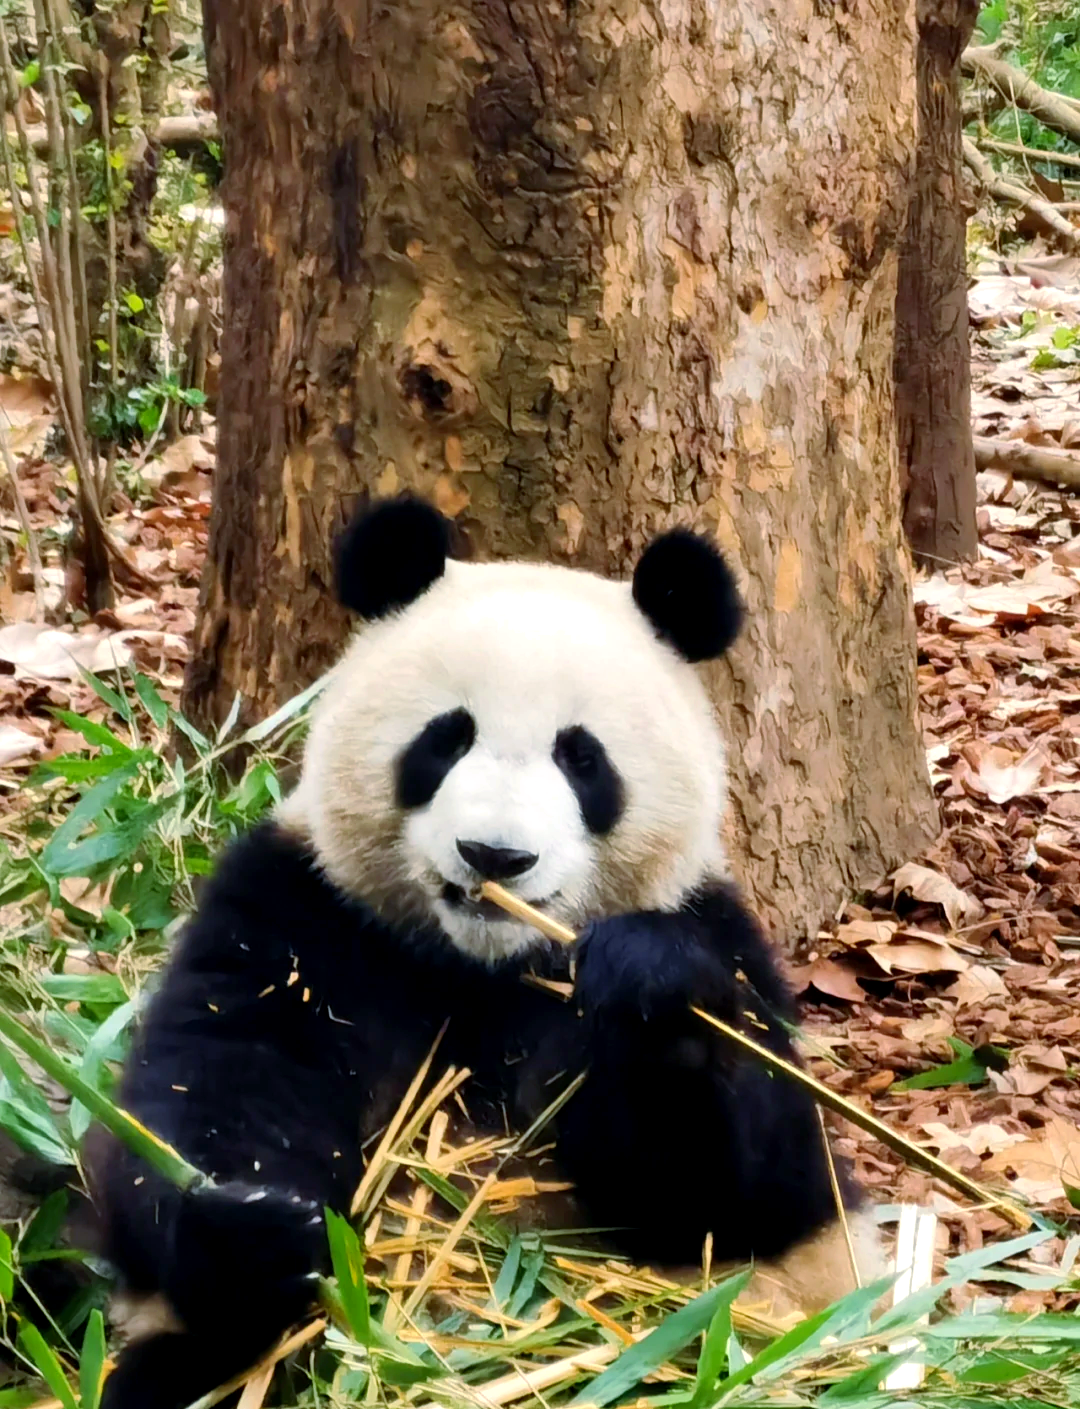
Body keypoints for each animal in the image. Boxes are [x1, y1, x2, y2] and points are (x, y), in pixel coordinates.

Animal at [90, 496, 882, 1409]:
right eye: (445, 738)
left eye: (581, 757)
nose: (494, 856)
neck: (485, 963)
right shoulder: (303, 909)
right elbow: (211, 1081)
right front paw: (257, 1226)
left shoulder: (717, 929)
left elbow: (747, 1187)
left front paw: (648, 985)